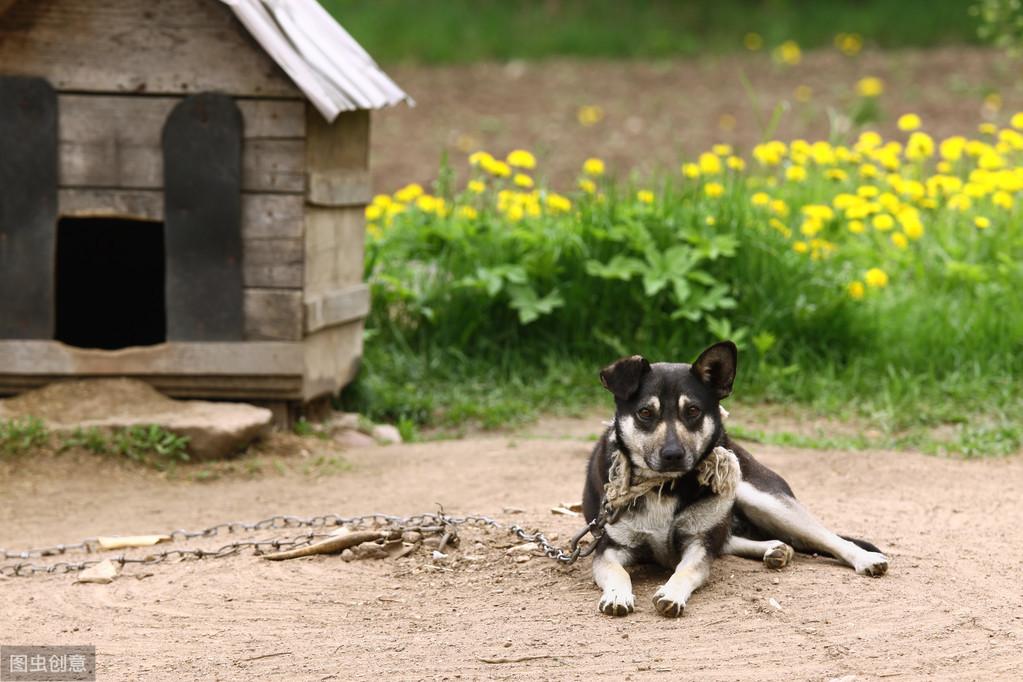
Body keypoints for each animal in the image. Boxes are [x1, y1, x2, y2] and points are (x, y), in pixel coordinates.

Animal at [585, 341, 887, 617]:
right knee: (733, 539)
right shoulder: (609, 547)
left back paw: (864, 558)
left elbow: (686, 569)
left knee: (824, 536)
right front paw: (617, 595)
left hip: (763, 499)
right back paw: (776, 549)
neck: (664, 486)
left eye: (693, 411)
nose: (673, 455)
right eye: (645, 413)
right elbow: (618, 572)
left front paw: (671, 593)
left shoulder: (698, 544)